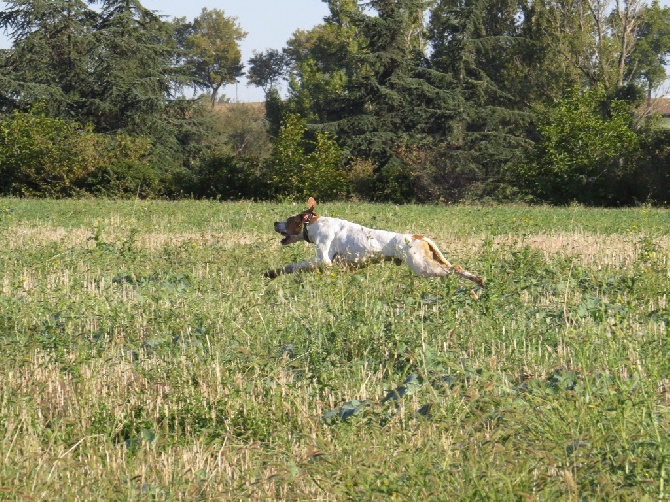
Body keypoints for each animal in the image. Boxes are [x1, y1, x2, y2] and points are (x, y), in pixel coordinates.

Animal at [266, 198, 486, 288]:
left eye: (288, 219)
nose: (275, 222)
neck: (313, 225)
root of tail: (418, 236)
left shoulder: (323, 260)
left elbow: (294, 266)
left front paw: (272, 272)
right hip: (429, 261)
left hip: (423, 266)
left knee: (454, 269)